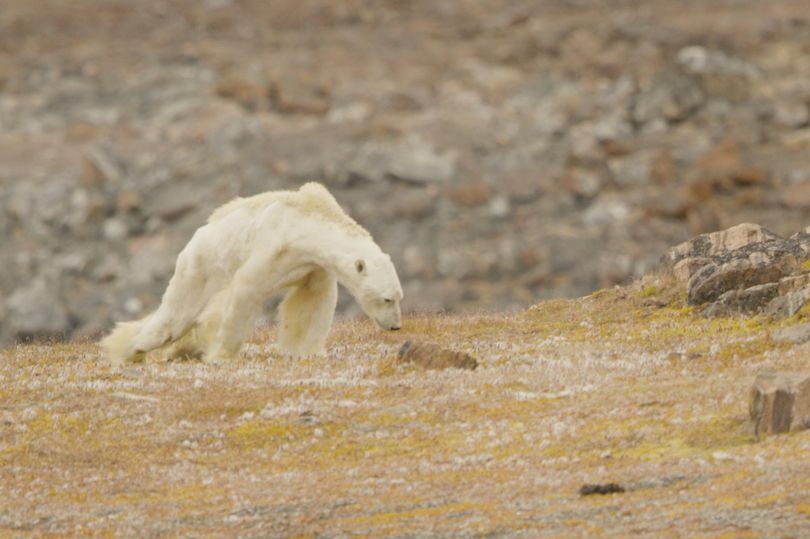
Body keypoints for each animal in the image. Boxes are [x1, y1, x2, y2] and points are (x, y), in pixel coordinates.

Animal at [99, 182, 402, 368]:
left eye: (399, 297)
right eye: (387, 299)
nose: (396, 326)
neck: (308, 220)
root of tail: (196, 237)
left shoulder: (313, 265)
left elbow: (312, 302)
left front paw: (309, 350)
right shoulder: (273, 246)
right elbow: (245, 291)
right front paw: (221, 354)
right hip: (200, 267)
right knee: (174, 317)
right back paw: (130, 349)